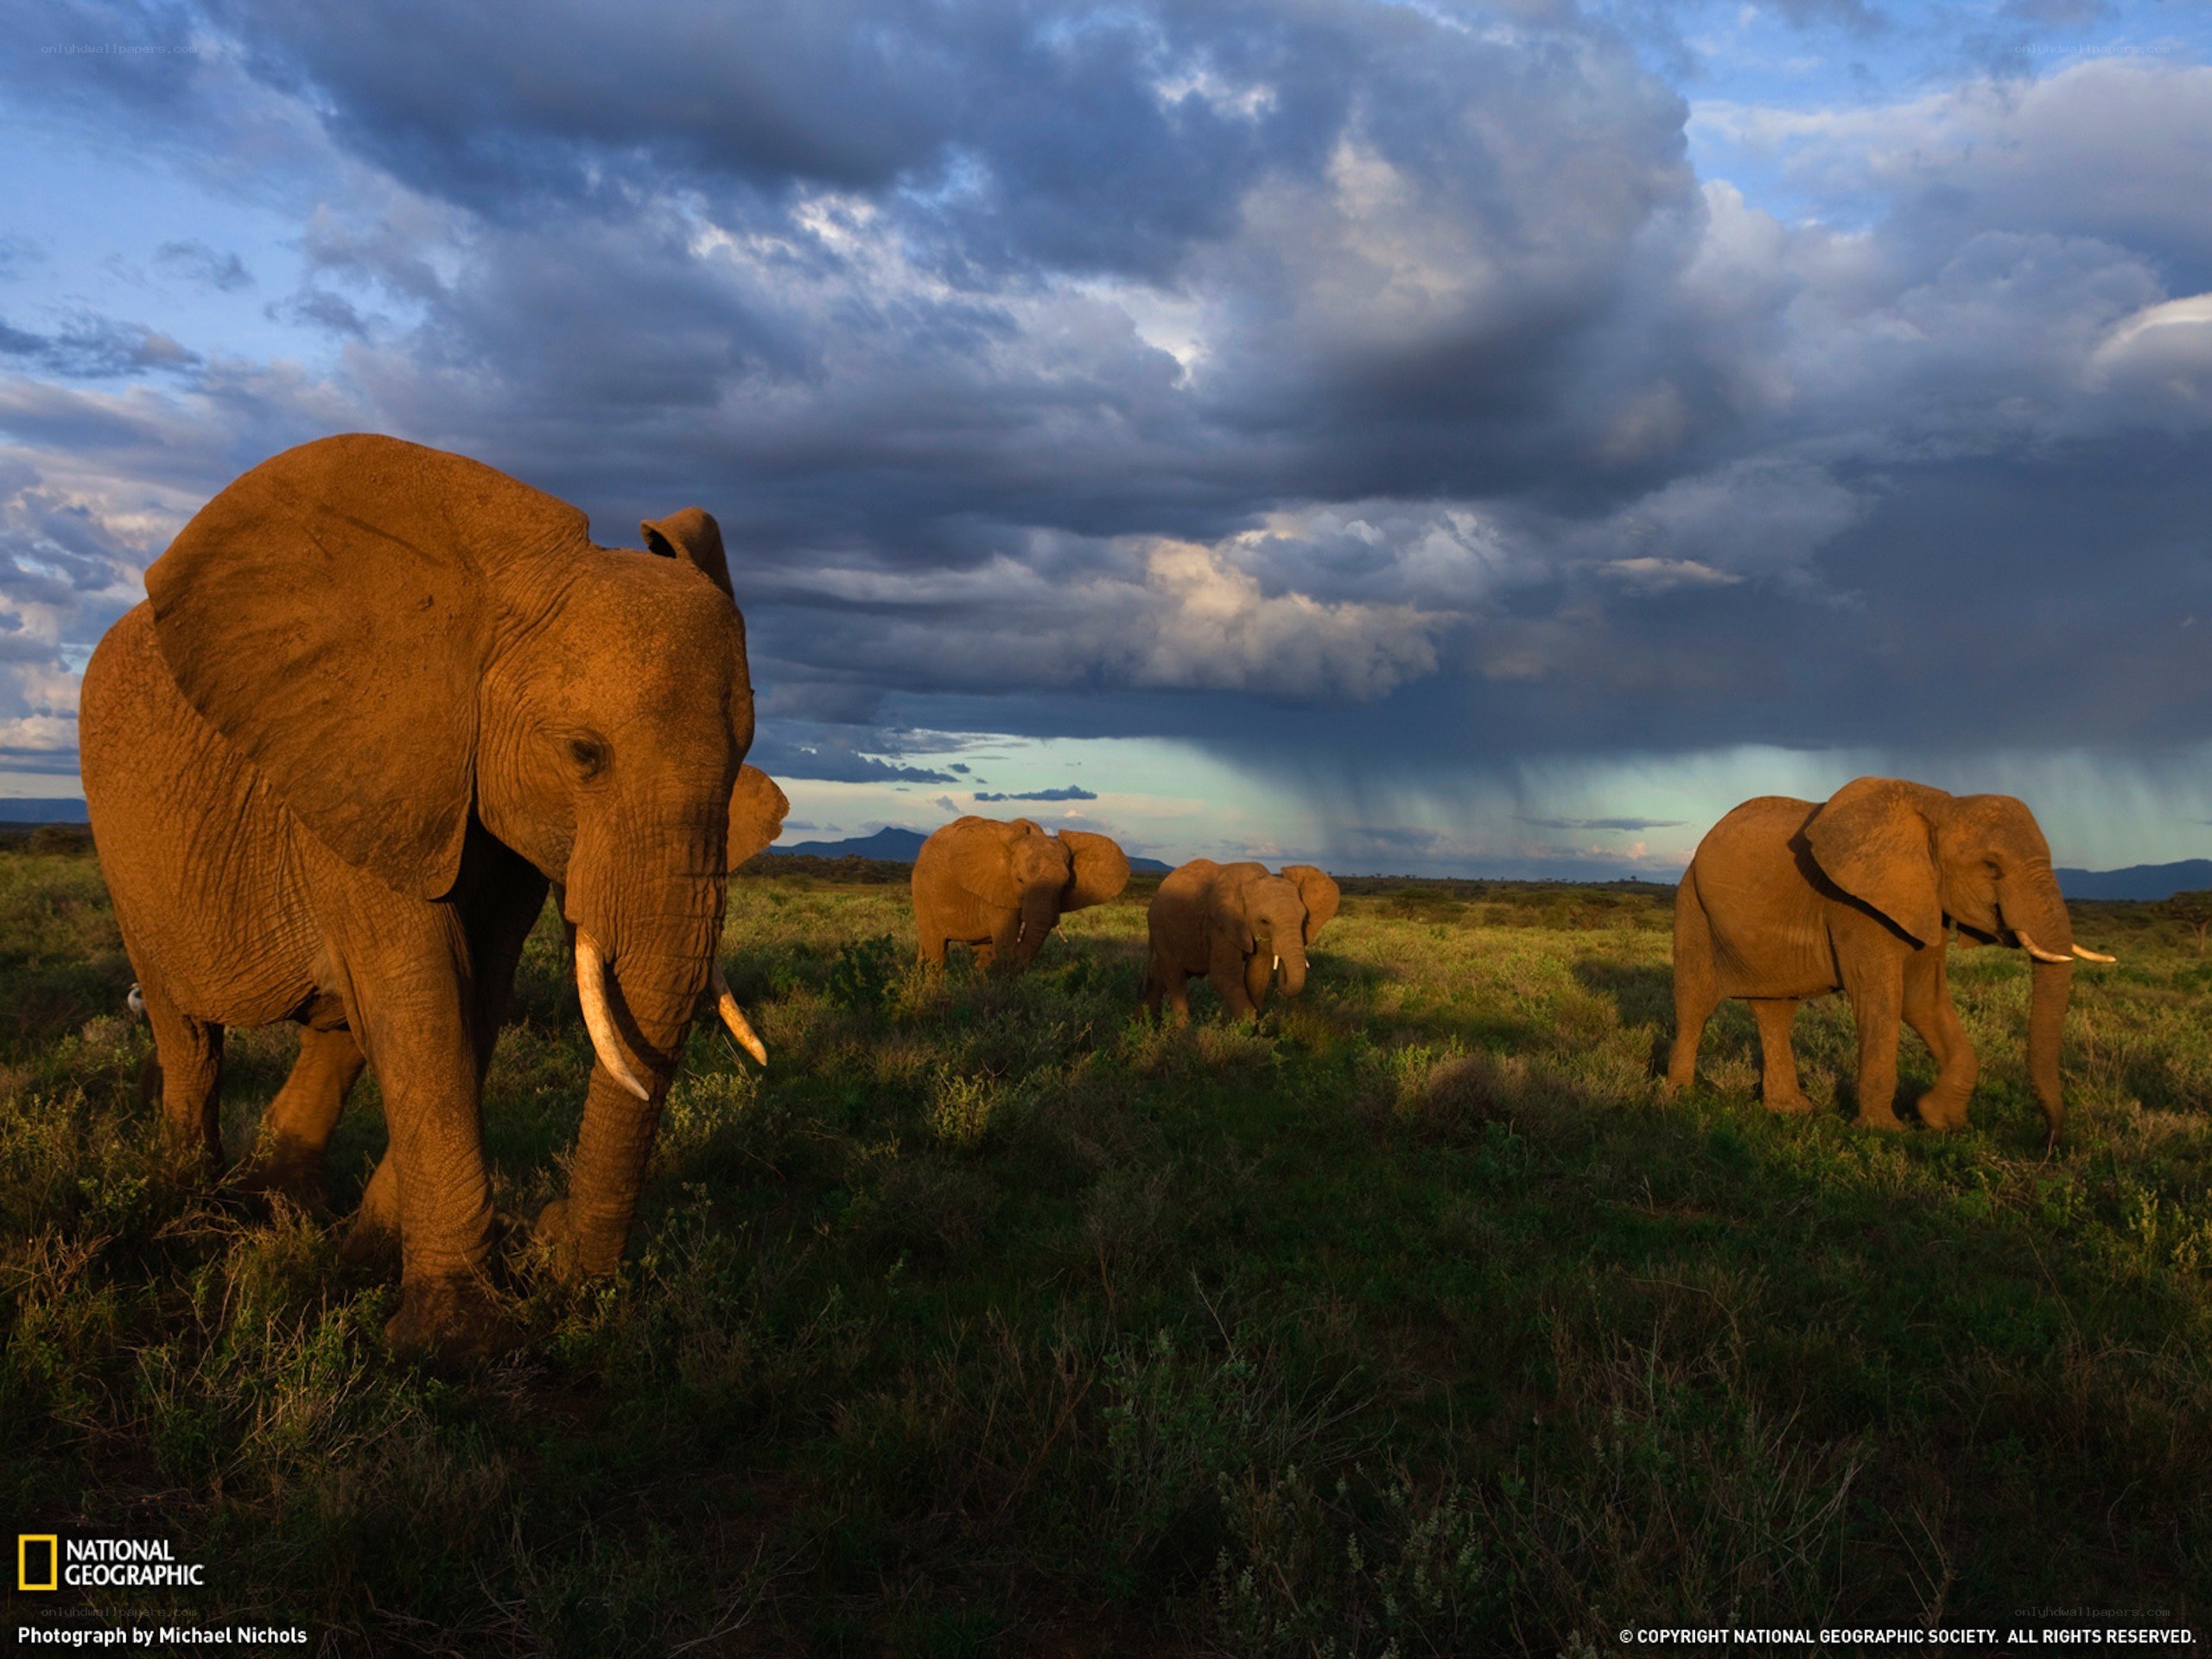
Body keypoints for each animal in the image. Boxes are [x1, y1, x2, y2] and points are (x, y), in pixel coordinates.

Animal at [79, 433, 769, 1359]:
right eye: (584, 754)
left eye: (743, 760)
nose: (552, 1242)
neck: (484, 610)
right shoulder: (362, 764)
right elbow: (426, 996)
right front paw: (453, 1342)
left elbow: (474, 997)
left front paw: (379, 1269)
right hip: (127, 856)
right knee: (186, 1031)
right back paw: (190, 1212)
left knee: (338, 1029)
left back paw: (287, 1214)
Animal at [911, 816, 1129, 972]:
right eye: (1019, 880)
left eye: (1064, 885)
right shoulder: (998, 892)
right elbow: (1005, 946)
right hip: (923, 894)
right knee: (936, 954)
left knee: (981, 955)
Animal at [1142, 859, 1340, 1021]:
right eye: (1265, 921)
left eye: (1304, 919)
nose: (1285, 870)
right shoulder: (1220, 925)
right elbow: (1224, 976)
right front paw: (1244, 1028)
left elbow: (1258, 974)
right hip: (1160, 926)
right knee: (1175, 978)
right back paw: (1183, 1032)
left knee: (1159, 977)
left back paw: (1146, 1024)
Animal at [1664, 777, 2115, 1144]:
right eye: (1991, 866)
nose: (2048, 1141)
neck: (1942, 806)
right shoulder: (1854, 905)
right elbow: (1881, 998)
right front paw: (1886, 1131)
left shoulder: (1927, 900)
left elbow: (1922, 998)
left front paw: (1939, 1119)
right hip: (1692, 906)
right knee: (1696, 1002)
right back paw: (1678, 1099)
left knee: (1775, 1011)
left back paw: (1791, 1110)